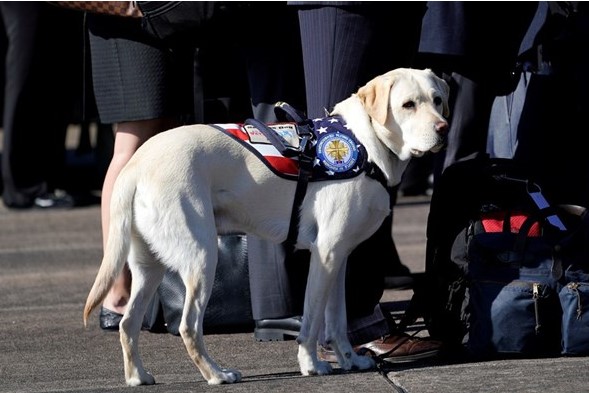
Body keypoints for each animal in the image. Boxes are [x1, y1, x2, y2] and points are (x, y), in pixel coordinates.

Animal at [82, 67, 448, 382]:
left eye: (438, 100)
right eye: (408, 104)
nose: (443, 128)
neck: (365, 143)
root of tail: (136, 164)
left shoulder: (339, 258)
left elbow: (337, 320)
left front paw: (349, 360)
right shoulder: (326, 254)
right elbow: (312, 321)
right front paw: (311, 364)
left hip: (149, 267)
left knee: (128, 325)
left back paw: (138, 377)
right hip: (201, 259)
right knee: (188, 327)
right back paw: (217, 374)